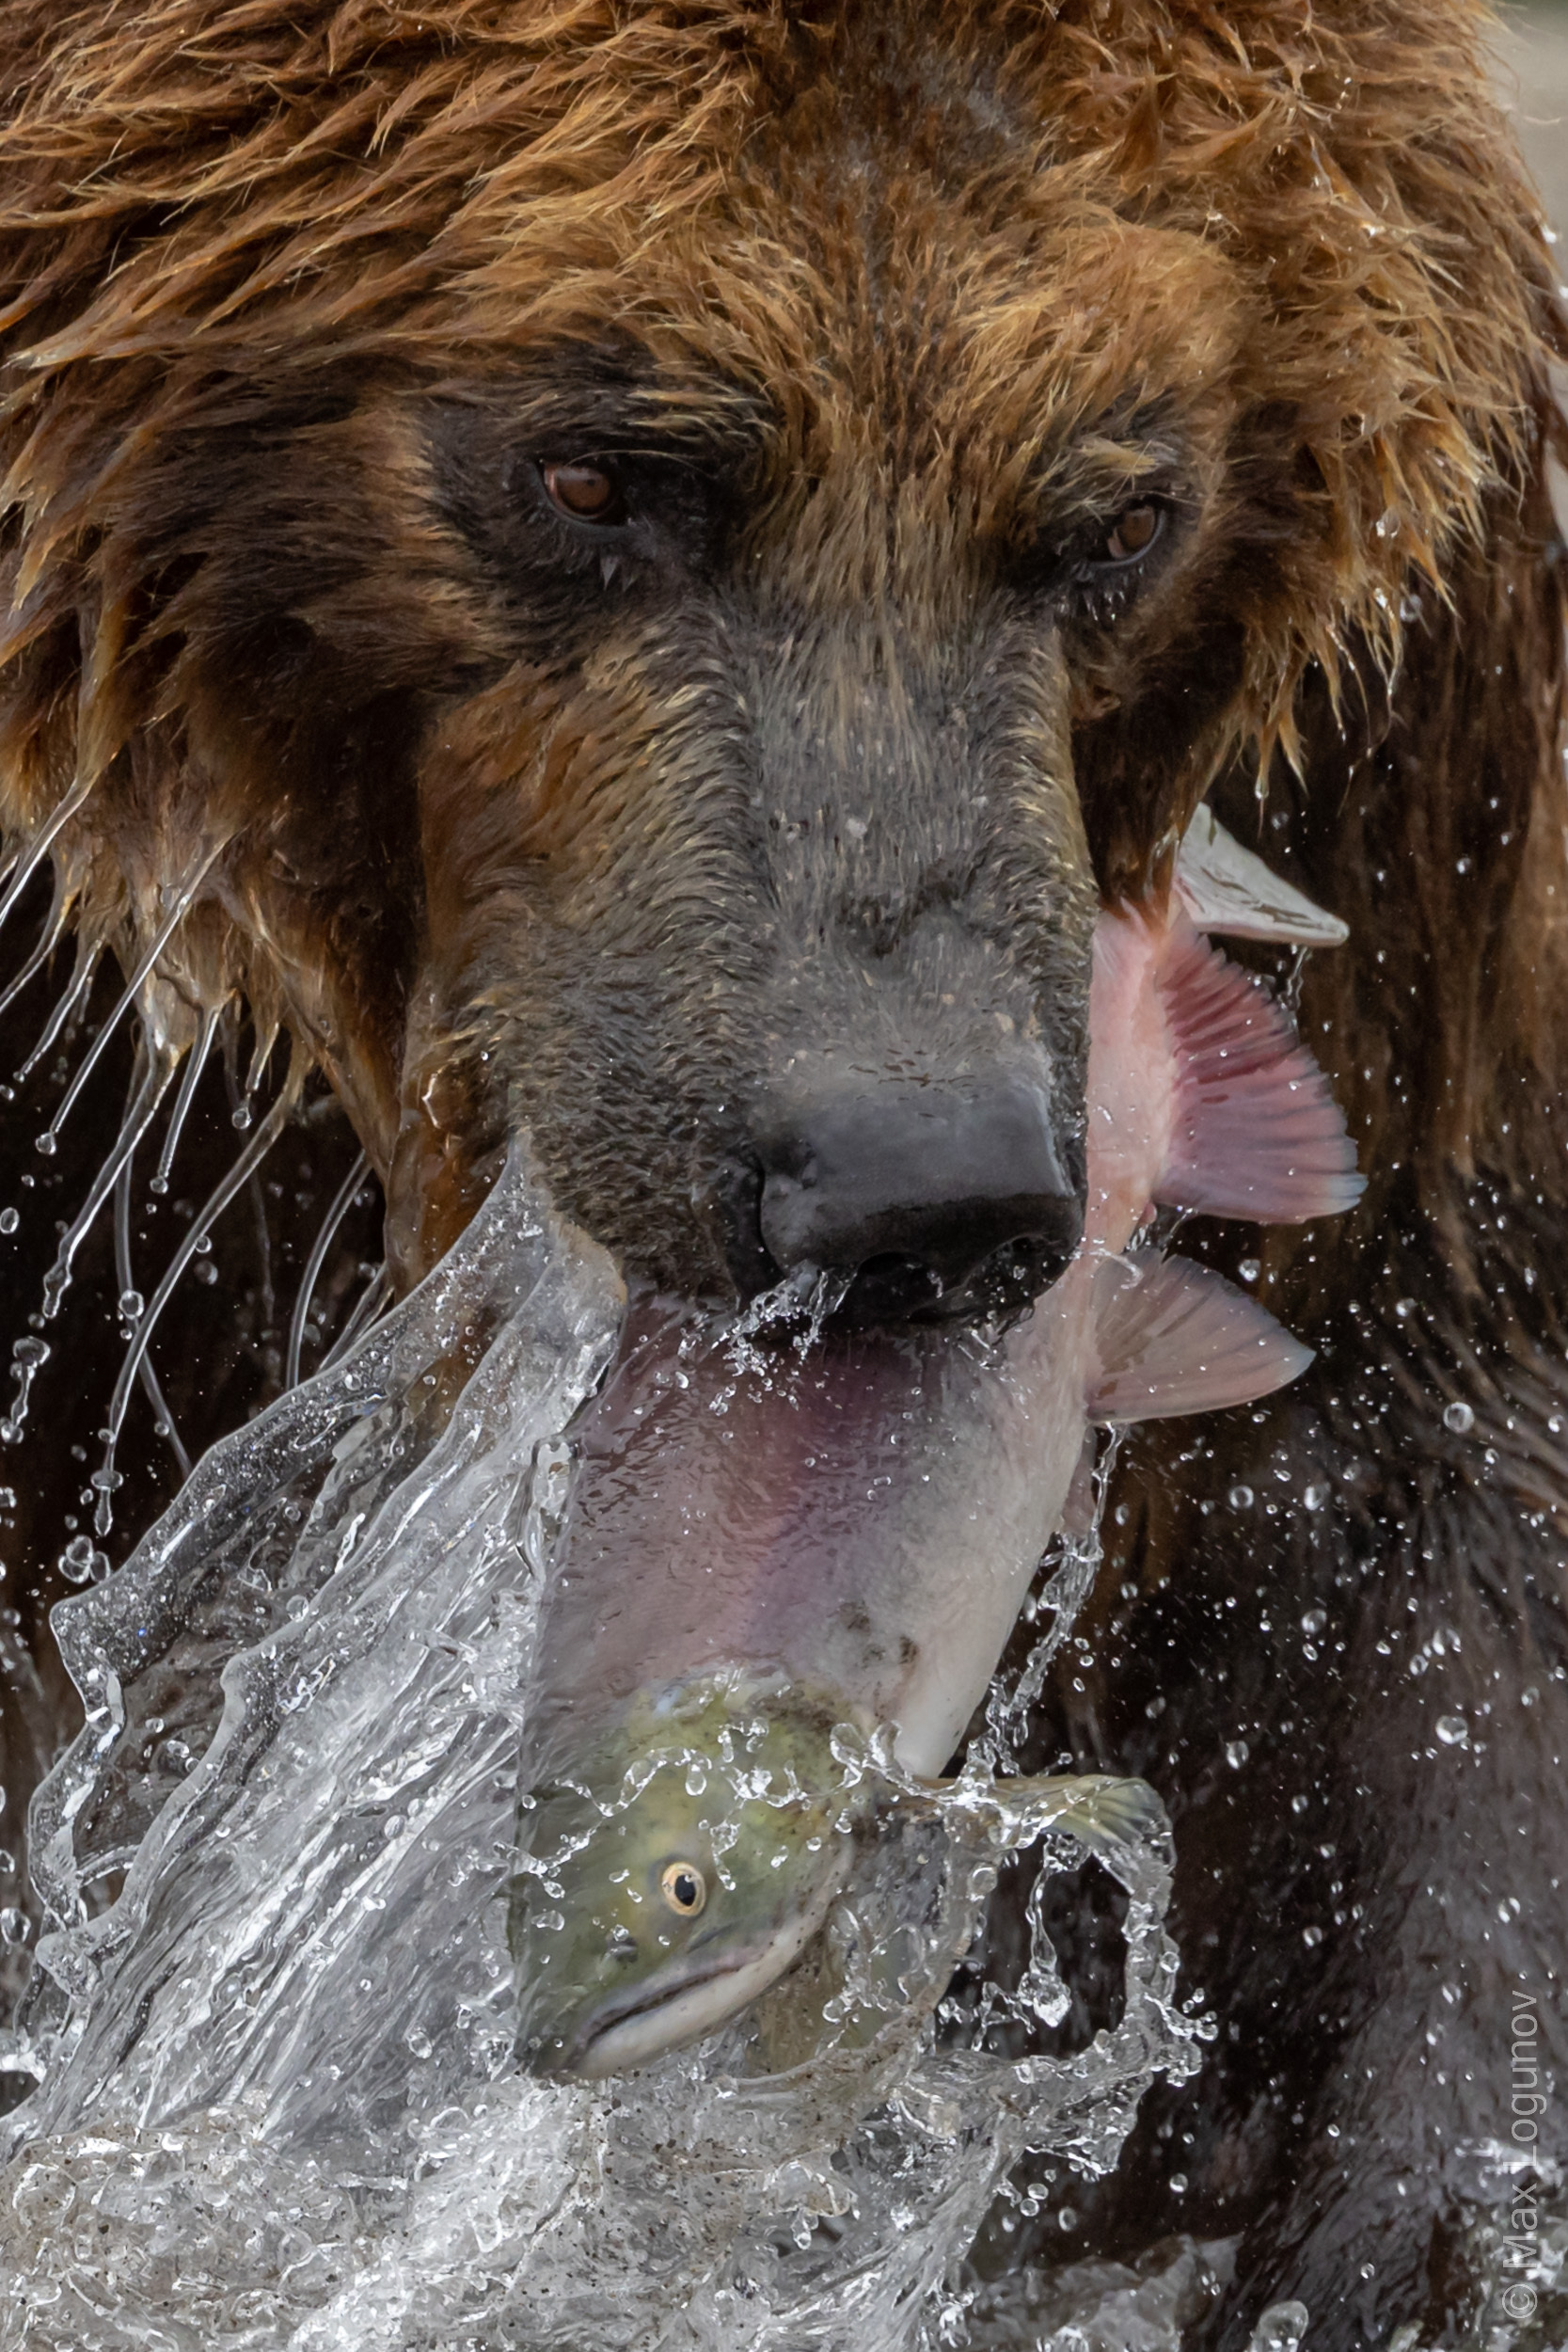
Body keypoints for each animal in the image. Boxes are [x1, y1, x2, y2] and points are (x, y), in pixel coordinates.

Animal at [0, 0, 1560, 2343]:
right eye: (592, 471)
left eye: (1117, 515)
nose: (919, 1185)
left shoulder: (1418, 775)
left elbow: (1400, 1557)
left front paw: (1408, 2226)